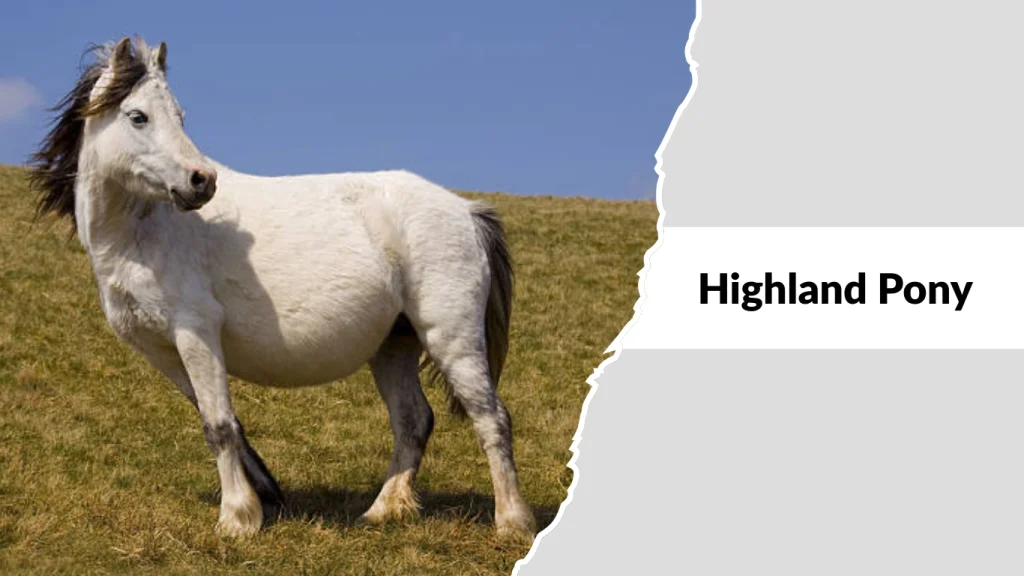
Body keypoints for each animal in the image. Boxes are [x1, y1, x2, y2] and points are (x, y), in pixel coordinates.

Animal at [28, 37, 536, 539]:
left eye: (180, 116)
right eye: (138, 116)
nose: (201, 182)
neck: (144, 232)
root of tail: (465, 211)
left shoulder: (195, 332)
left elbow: (218, 425)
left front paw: (237, 518)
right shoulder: (163, 351)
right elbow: (223, 421)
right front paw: (262, 495)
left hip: (452, 338)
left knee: (491, 418)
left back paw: (511, 521)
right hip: (394, 346)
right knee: (413, 419)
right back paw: (383, 510)